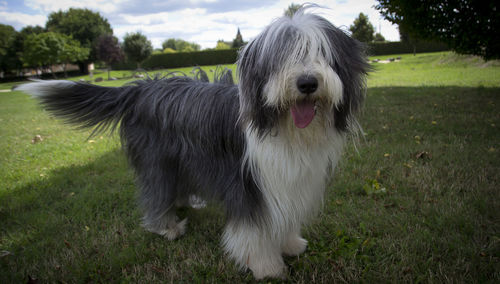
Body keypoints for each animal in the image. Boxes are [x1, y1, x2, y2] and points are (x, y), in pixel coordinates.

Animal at [16, 6, 368, 280]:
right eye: (284, 58)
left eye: (322, 54)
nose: (307, 83)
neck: (287, 129)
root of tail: (140, 88)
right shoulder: (247, 185)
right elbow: (254, 230)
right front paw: (267, 267)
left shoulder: (289, 181)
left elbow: (283, 219)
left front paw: (291, 244)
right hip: (158, 160)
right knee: (156, 191)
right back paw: (166, 227)